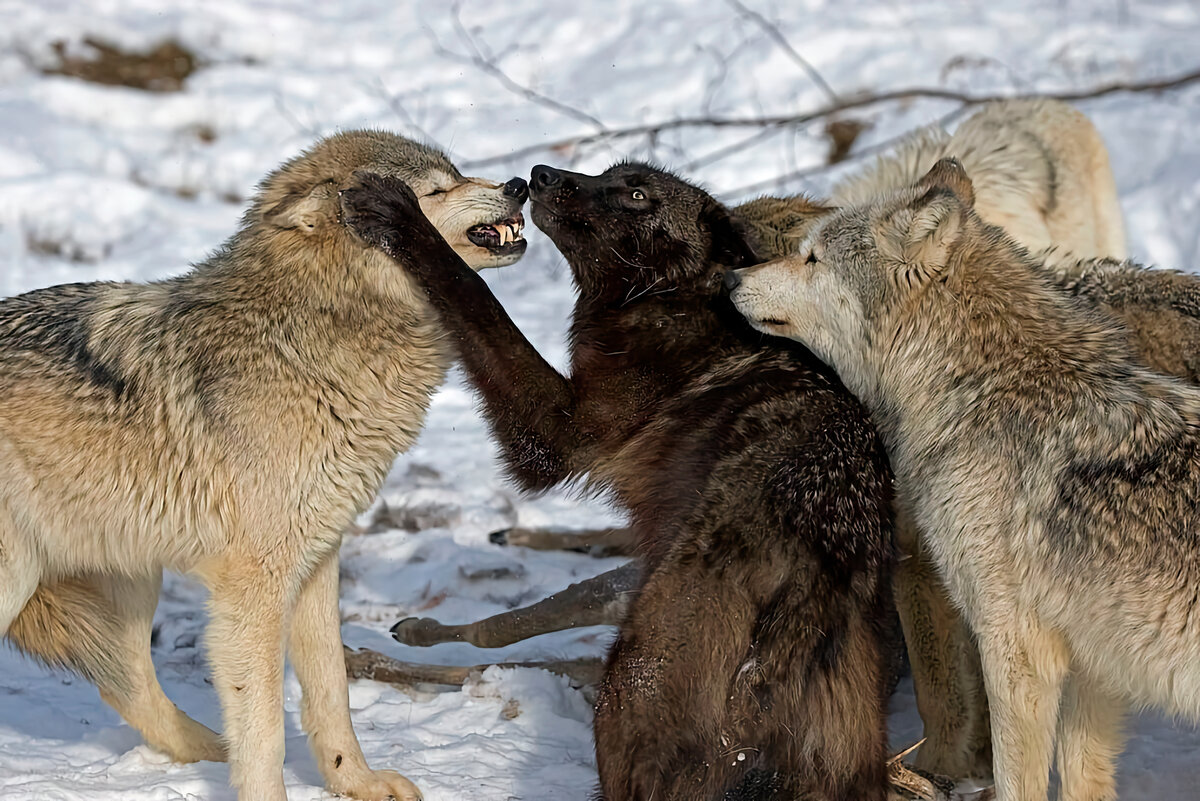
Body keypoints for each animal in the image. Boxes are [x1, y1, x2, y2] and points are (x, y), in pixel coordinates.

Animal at [1, 130, 525, 801]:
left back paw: (206, 753)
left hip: (131, 580)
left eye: (455, 173)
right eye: (435, 190)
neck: (306, 340)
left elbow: (332, 694)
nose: (519, 185)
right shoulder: (252, 587)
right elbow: (265, 731)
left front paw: (357, 781)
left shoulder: (317, 562)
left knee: (127, 686)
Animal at [338, 164, 902, 801]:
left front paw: (397, 215)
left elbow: (471, 293)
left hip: (629, 683)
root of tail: (813, 593)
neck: (668, 299)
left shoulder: (557, 437)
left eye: (635, 195)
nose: (539, 175)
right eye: (609, 174)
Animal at [724, 158, 1200, 801]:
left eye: (812, 257)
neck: (982, 391)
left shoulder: (1015, 650)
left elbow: (1012, 775)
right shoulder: (1094, 665)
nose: (729, 279)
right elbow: (1082, 780)